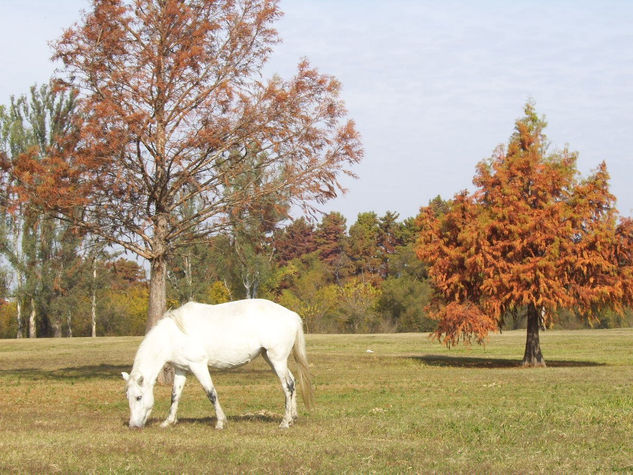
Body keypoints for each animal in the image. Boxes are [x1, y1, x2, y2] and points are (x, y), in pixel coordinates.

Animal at [120, 302, 314, 432]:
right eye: (128, 397)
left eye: (138, 397)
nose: (133, 425)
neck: (174, 334)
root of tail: (291, 315)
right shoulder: (181, 369)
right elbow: (175, 396)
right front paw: (168, 422)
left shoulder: (198, 366)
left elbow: (211, 393)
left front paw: (220, 422)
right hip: (271, 359)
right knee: (292, 382)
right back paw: (293, 417)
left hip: (277, 359)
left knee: (287, 386)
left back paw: (285, 422)